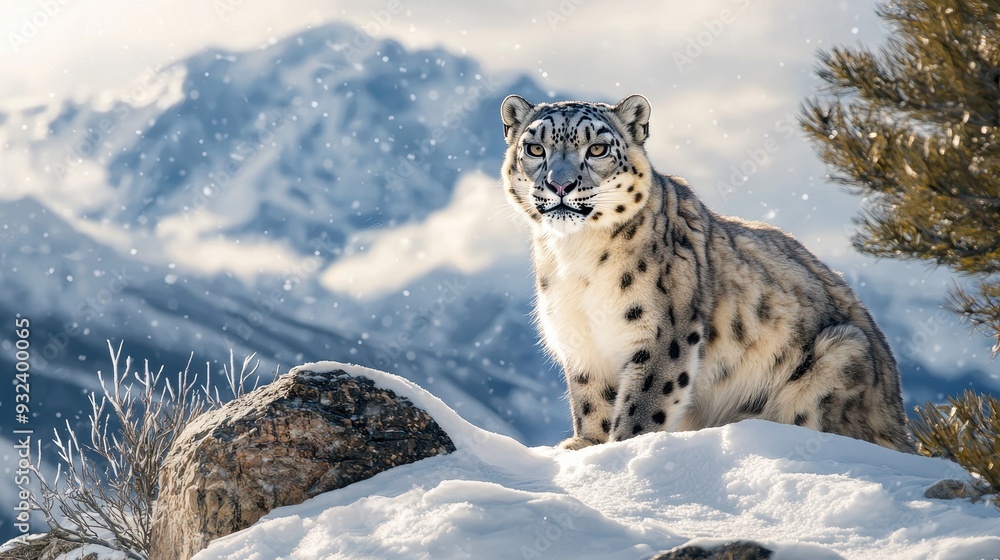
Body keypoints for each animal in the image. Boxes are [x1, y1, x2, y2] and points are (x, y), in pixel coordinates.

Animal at [499, 94, 914, 452]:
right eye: (535, 149)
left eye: (597, 149)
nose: (560, 184)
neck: (576, 257)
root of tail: (899, 420)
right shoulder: (581, 341)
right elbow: (591, 401)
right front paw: (585, 446)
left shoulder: (662, 335)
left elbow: (642, 405)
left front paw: (622, 449)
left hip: (840, 354)